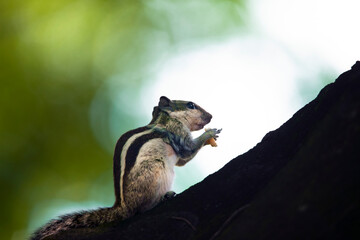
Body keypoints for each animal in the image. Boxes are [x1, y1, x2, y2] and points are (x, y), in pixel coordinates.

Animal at [31, 96, 221, 240]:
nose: (211, 116)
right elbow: (187, 149)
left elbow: (182, 160)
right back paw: (160, 198)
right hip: (153, 169)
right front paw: (209, 133)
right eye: (191, 105)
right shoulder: (177, 132)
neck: (166, 119)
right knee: (139, 210)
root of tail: (123, 207)